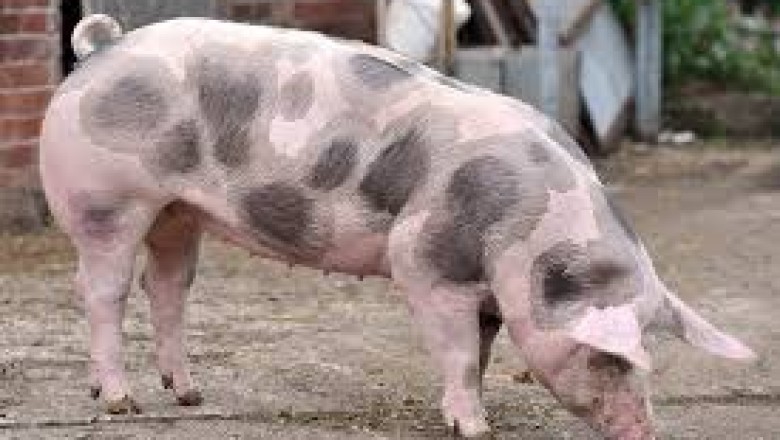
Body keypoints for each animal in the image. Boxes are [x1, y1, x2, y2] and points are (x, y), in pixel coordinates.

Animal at [39, 14, 756, 439]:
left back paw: (188, 395)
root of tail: (102, 49)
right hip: (106, 200)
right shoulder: (425, 261)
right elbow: (460, 353)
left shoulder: (485, 293)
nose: (645, 431)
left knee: (168, 286)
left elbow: (481, 352)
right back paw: (119, 402)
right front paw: (476, 430)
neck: (526, 239)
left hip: (178, 212)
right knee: (102, 293)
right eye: (609, 357)